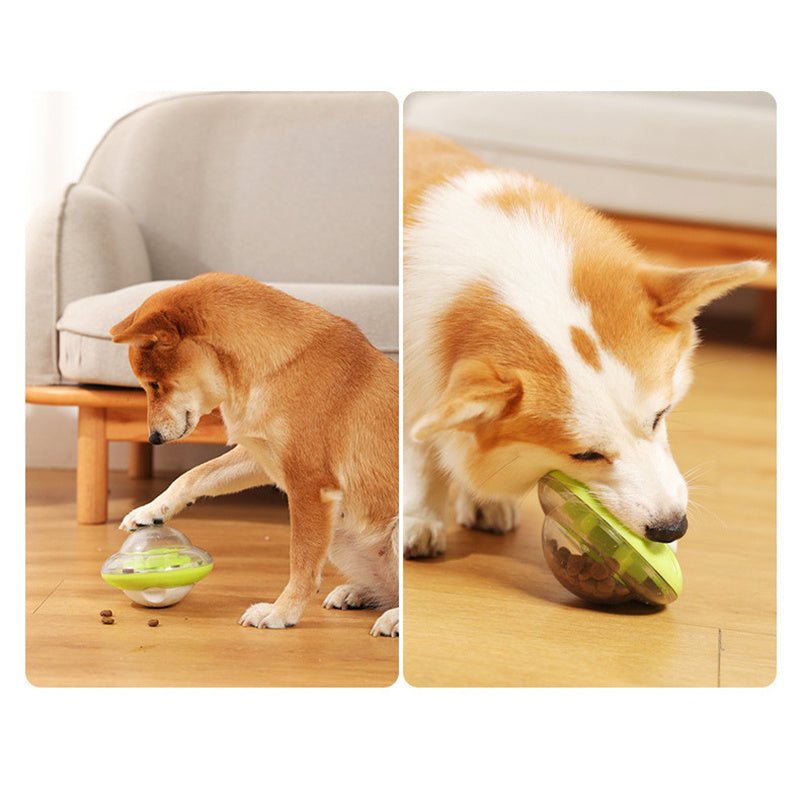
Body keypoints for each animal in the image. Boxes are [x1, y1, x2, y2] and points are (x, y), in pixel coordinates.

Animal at [111, 276, 398, 636]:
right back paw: (356, 592)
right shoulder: (258, 455)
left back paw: (394, 616)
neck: (278, 366)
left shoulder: (308, 487)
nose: (153, 438)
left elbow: (302, 563)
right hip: (340, 532)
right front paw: (150, 510)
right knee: (387, 588)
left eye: (153, 384)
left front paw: (282, 612)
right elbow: (193, 476)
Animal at [404, 130, 764, 556]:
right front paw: (420, 520)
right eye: (585, 455)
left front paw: (484, 500)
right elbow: (422, 458)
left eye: (660, 416)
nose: (672, 527)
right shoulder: (418, 380)